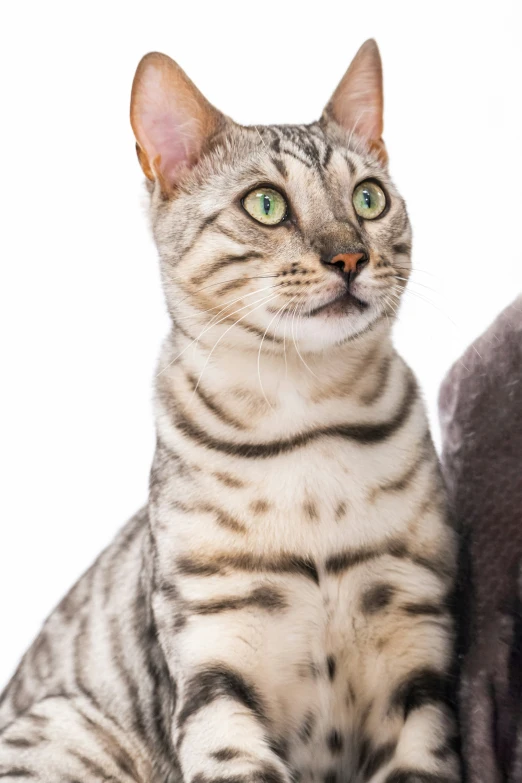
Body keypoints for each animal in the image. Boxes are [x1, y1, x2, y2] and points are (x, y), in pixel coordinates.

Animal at [0, 41, 458, 783]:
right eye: (266, 204)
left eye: (369, 197)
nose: (350, 255)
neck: (308, 424)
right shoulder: (212, 670)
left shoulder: (419, 651)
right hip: (67, 727)